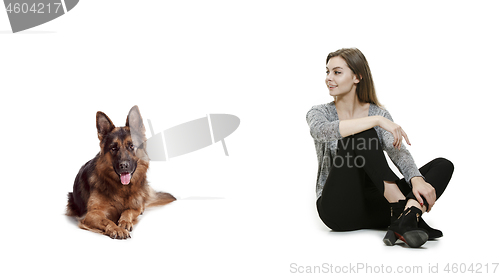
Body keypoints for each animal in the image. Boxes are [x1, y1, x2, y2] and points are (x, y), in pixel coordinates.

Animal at [66, 104, 176, 238]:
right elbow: (107, 220)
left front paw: (124, 222)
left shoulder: (135, 207)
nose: (124, 165)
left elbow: (128, 211)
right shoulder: (92, 214)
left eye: (132, 146)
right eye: (114, 148)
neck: (122, 189)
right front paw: (116, 229)